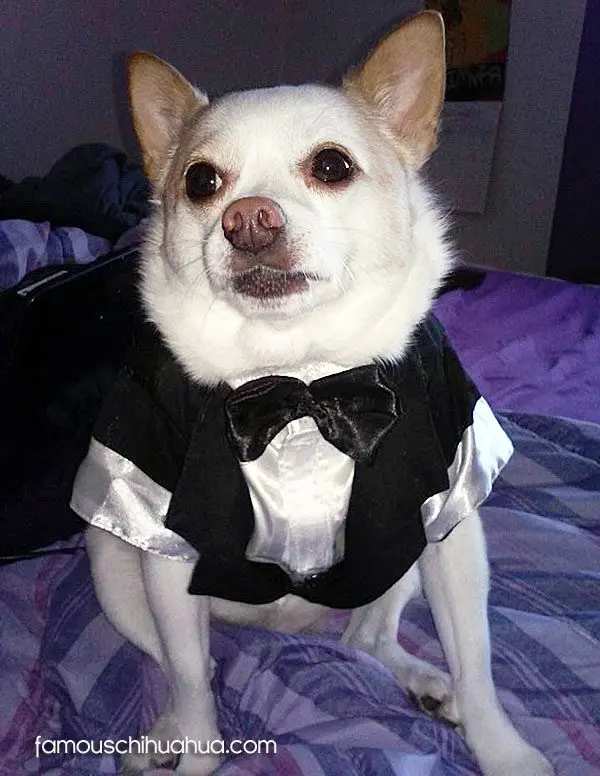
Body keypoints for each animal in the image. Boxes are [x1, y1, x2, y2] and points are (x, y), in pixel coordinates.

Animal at [71, 11, 554, 776]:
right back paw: (167, 731)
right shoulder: (165, 545)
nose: (248, 218)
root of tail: (292, 628)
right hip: (112, 561)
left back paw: (423, 680)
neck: (299, 378)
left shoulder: (451, 525)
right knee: (194, 668)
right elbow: (194, 682)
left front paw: (503, 751)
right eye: (201, 181)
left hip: (401, 562)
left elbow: (478, 663)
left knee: (366, 640)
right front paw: (198, 752)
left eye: (332, 166)